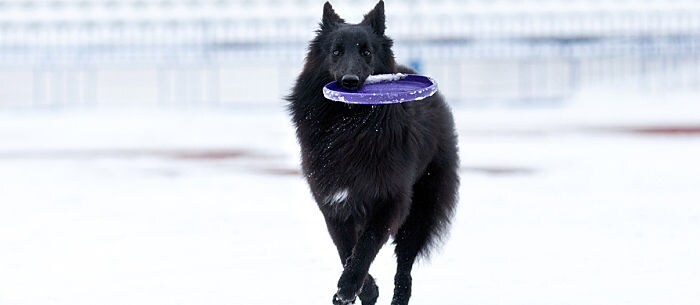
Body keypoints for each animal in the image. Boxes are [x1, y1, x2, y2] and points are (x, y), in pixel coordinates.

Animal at [286, 1, 460, 302]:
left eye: (366, 52)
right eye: (336, 51)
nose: (350, 82)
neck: (349, 127)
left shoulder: (389, 200)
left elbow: (365, 247)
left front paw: (349, 286)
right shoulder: (335, 204)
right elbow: (346, 249)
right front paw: (362, 290)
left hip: (420, 211)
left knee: (405, 268)